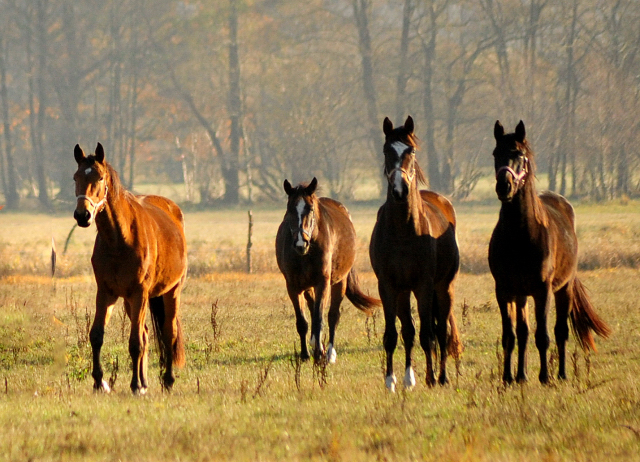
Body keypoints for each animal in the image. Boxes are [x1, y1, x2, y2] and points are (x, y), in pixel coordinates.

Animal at [74, 143, 188, 394]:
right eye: (75, 177)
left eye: (99, 177)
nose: (82, 215)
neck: (120, 239)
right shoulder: (106, 293)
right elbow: (96, 335)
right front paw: (99, 382)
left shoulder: (139, 293)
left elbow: (135, 342)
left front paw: (134, 384)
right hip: (130, 300)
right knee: (146, 333)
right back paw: (145, 381)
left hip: (170, 292)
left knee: (168, 333)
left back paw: (166, 380)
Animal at [276, 177, 380, 360]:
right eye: (289, 210)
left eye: (310, 209)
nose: (300, 244)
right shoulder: (293, 286)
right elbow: (302, 321)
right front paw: (305, 354)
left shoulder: (322, 283)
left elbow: (320, 318)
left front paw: (319, 353)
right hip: (308, 286)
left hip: (340, 281)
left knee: (333, 315)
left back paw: (330, 352)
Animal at [368, 116, 462, 394]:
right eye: (387, 151)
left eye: (410, 151)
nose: (400, 190)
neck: (403, 231)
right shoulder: (389, 286)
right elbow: (393, 335)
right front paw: (392, 380)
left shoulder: (424, 285)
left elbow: (427, 335)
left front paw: (431, 378)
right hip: (403, 292)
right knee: (409, 331)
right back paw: (410, 377)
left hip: (443, 288)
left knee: (440, 332)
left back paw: (441, 377)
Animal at [490, 121, 608, 384]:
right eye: (495, 154)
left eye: (519, 155)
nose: (504, 186)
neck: (519, 235)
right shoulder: (504, 290)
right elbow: (509, 335)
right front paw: (507, 377)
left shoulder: (543, 290)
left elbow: (543, 335)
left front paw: (545, 377)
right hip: (521, 295)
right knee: (522, 332)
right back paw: (521, 375)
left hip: (564, 289)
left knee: (561, 331)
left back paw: (561, 374)